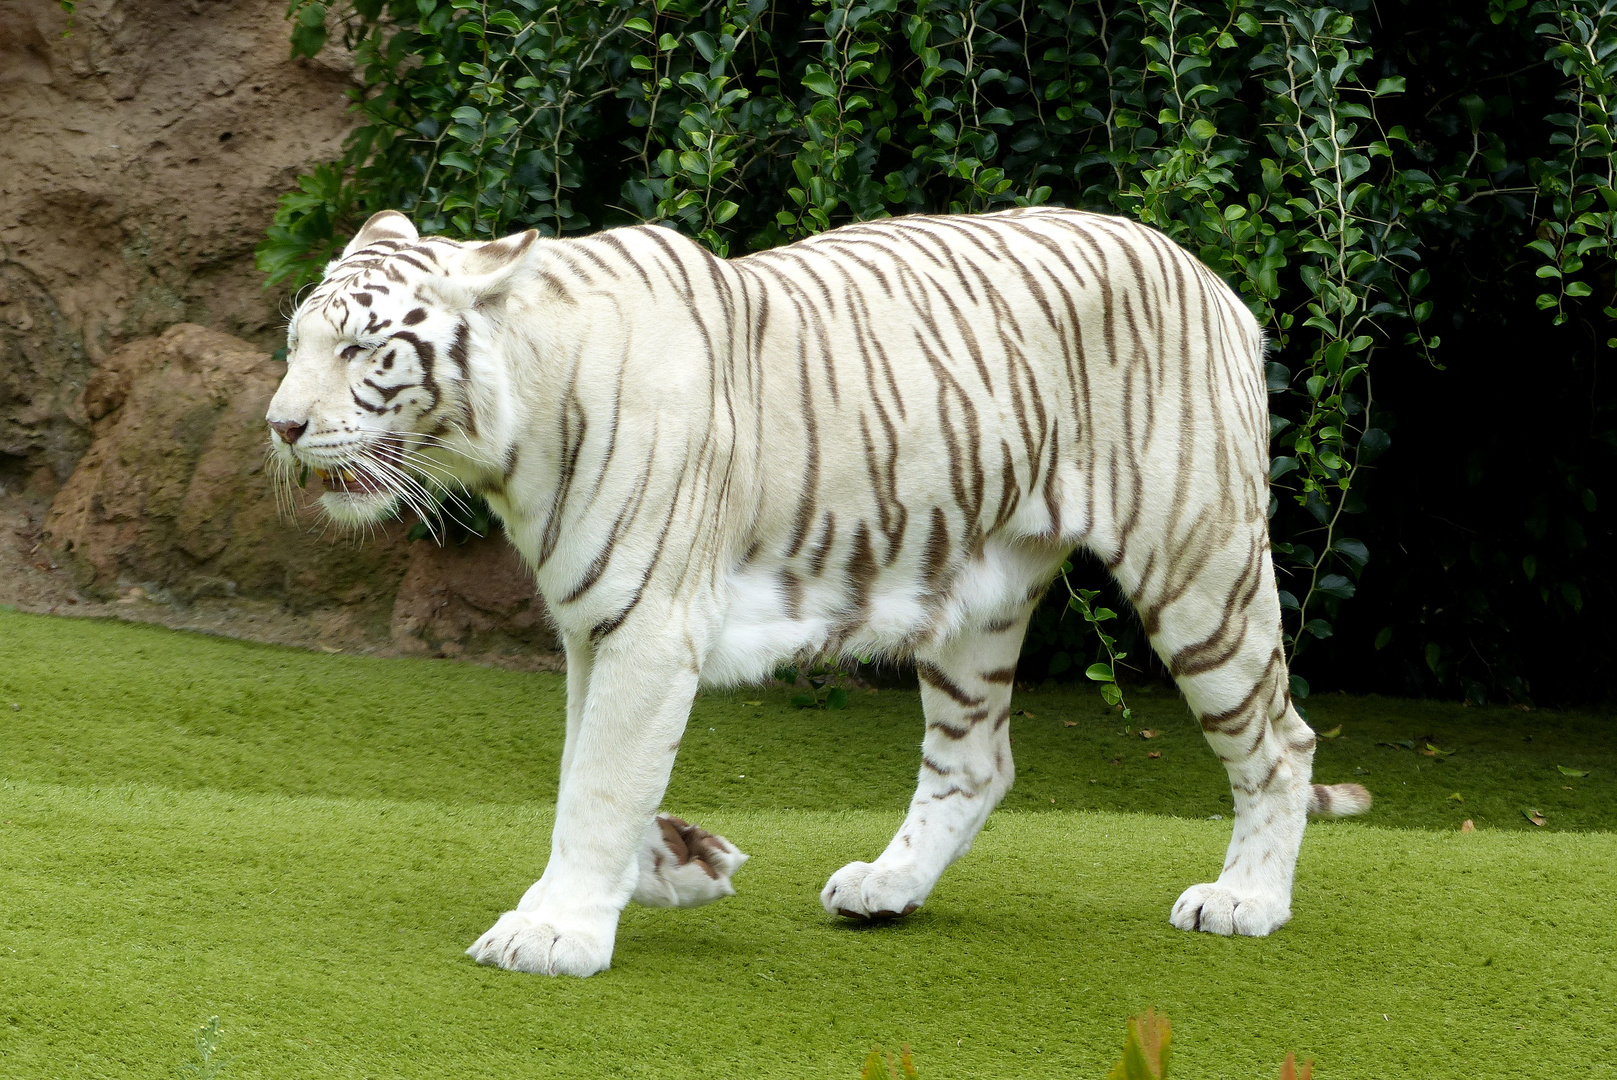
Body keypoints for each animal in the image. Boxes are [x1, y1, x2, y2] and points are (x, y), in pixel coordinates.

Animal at [265, 204, 1364, 976]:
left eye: (360, 349)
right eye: (294, 346)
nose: (279, 425)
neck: (515, 432)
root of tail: (1213, 280)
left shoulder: (648, 626)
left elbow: (599, 782)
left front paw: (554, 933)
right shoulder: (594, 627)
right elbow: (590, 768)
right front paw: (678, 865)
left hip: (1199, 566)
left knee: (1281, 743)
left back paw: (1246, 902)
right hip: (977, 593)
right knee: (976, 761)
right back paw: (888, 883)